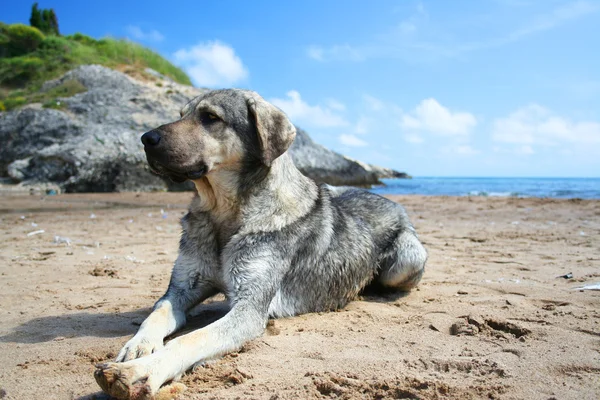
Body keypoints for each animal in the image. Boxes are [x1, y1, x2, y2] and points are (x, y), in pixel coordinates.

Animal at [94, 89, 426, 398]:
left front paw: (139, 372)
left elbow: (189, 339)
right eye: (181, 114)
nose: (146, 138)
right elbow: (157, 313)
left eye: (210, 117)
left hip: (405, 262)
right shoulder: (182, 287)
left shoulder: (249, 309)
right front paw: (138, 346)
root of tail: (395, 203)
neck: (225, 212)